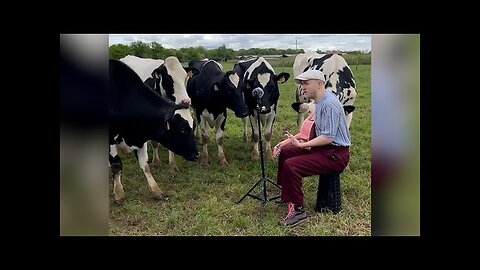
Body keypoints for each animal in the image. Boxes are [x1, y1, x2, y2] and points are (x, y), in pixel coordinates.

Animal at [109, 59, 199, 202]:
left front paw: (157, 190)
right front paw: (118, 193)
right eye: (182, 130)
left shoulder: (141, 136)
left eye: (185, 77)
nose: (197, 154)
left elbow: (145, 165)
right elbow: (116, 165)